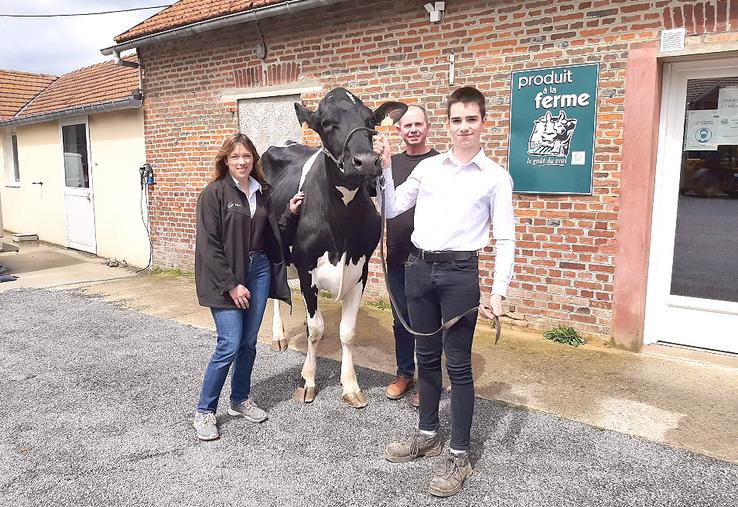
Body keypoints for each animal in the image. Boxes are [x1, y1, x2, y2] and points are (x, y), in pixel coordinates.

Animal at [262, 88, 406, 408]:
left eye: (370, 121)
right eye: (327, 123)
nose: (367, 161)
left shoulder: (360, 270)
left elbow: (347, 333)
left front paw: (350, 385)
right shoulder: (307, 271)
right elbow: (316, 329)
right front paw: (308, 380)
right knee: (277, 295)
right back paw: (278, 336)